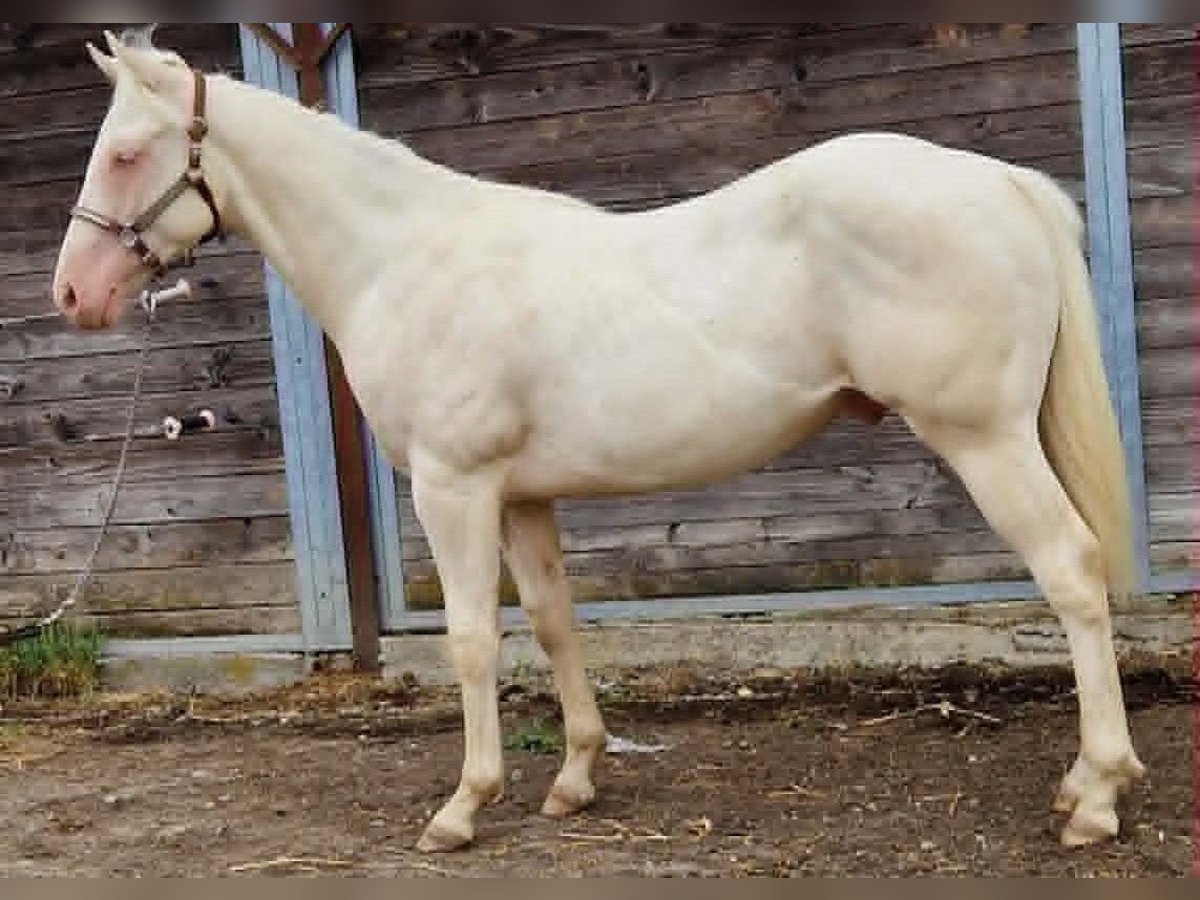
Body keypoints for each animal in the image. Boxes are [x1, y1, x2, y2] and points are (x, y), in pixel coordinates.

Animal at [52, 30, 1146, 853]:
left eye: (124, 152)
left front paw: (463, 807)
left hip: (986, 441)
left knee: (1071, 570)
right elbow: (553, 621)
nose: (72, 294)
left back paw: (1095, 796)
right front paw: (575, 777)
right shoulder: (522, 495)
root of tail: (1002, 183)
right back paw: (1083, 784)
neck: (404, 257)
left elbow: (470, 639)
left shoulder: (454, 488)